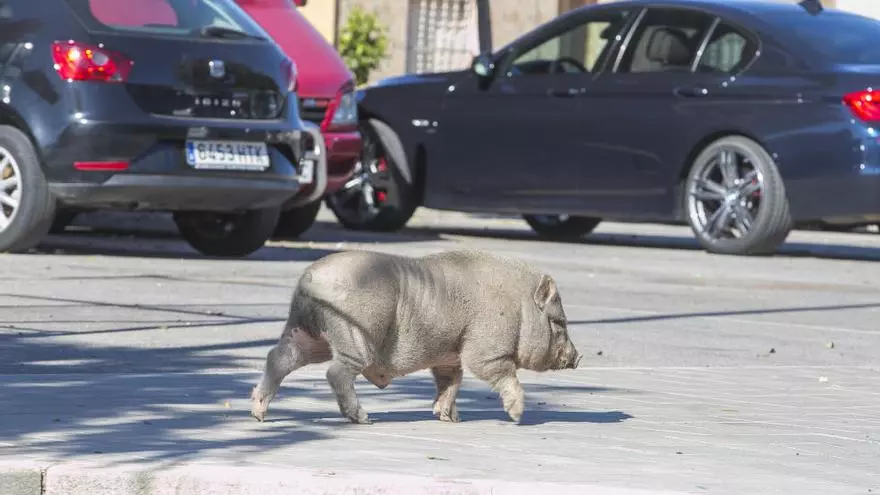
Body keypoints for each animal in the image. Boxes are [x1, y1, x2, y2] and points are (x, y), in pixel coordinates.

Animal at [250, 249, 582, 425]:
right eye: (559, 322)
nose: (578, 357)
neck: (520, 307)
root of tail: (310, 278)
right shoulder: (487, 349)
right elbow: (499, 373)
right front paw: (516, 417)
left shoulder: (448, 355)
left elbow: (451, 381)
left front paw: (451, 418)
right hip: (353, 333)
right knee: (336, 373)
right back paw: (365, 418)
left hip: (306, 331)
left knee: (278, 358)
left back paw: (258, 414)